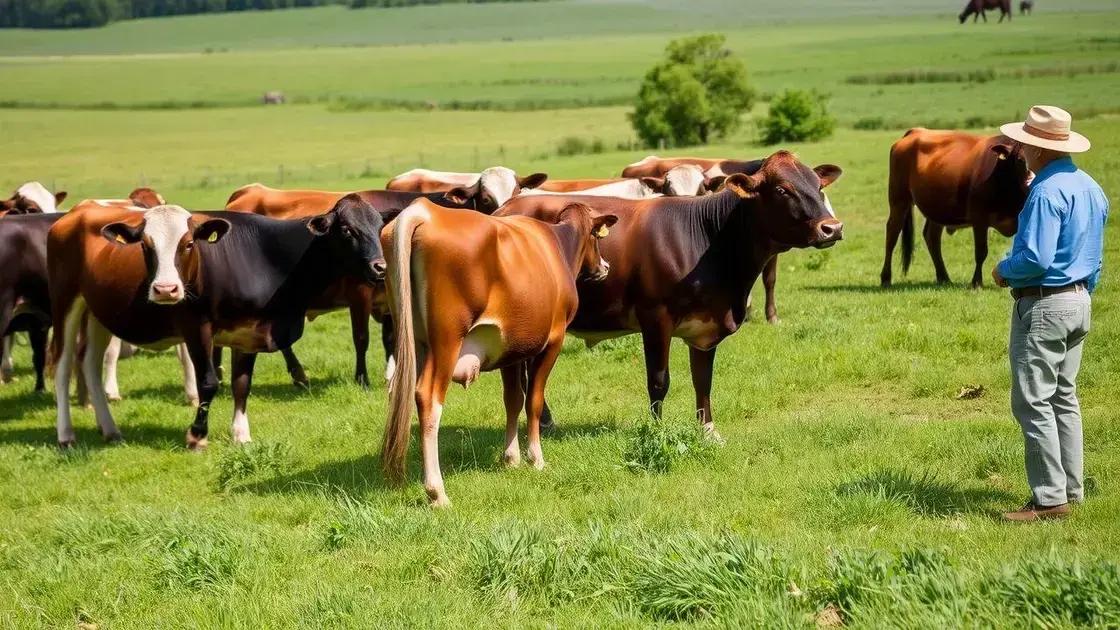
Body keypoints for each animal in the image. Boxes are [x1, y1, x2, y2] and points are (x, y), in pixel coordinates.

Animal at [48, 193, 387, 443]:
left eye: (377, 227)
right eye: (347, 230)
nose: (379, 267)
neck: (262, 256)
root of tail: (76, 213)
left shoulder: (248, 330)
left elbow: (242, 383)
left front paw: (241, 434)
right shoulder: (196, 326)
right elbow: (208, 382)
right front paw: (197, 434)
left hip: (98, 313)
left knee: (90, 363)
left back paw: (110, 429)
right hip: (66, 303)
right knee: (63, 367)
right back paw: (66, 435)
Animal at [380, 198, 618, 502]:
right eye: (597, 237)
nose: (605, 266)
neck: (559, 245)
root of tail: (425, 211)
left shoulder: (512, 349)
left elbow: (513, 399)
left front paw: (511, 458)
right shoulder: (553, 341)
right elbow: (534, 401)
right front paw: (536, 458)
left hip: (413, 341)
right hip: (446, 341)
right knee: (428, 398)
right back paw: (436, 491)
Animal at [495, 152, 842, 437]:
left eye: (818, 186)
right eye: (783, 189)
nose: (832, 227)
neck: (709, 241)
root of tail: (508, 207)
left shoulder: (706, 326)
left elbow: (703, 379)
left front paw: (709, 432)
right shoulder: (655, 318)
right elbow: (659, 380)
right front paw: (657, 431)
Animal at [882, 130, 1030, 286]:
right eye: (1020, 159)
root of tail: (916, 131)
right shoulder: (979, 218)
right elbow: (981, 252)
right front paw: (976, 282)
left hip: (937, 210)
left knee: (932, 237)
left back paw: (943, 277)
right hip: (899, 200)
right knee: (892, 233)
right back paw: (886, 278)